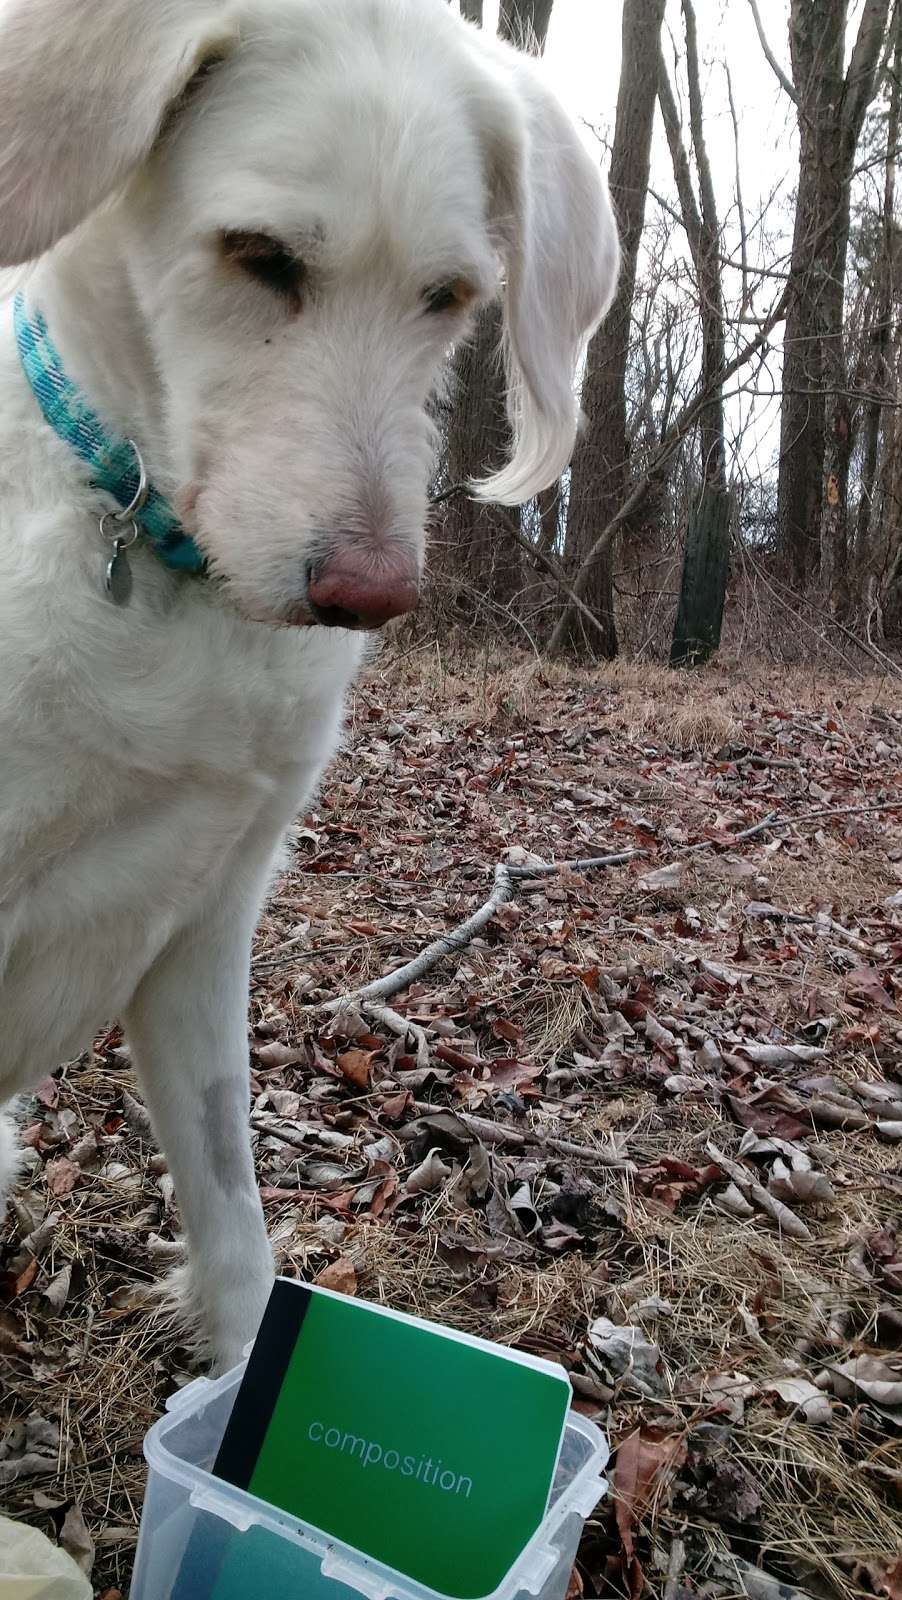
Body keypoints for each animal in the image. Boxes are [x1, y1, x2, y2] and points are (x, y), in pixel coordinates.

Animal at [0, 0, 617, 1369]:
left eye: (449, 297)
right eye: (260, 256)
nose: (370, 594)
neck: (160, 568)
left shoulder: (204, 919)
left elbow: (232, 1207)